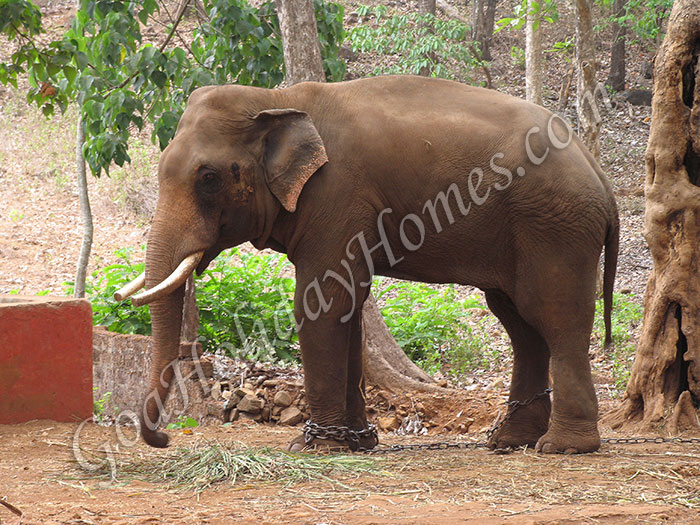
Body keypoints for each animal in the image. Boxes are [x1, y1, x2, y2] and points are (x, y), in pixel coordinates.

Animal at [119, 74, 616, 454]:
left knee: (555, 316)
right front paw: (358, 443)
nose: (164, 438)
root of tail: (596, 168)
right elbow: (349, 303)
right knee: (519, 322)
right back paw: (509, 441)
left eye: (208, 178)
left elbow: (322, 302)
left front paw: (314, 447)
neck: (275, 98)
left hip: (555, 227)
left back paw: (563, 447)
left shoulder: (337, 196)